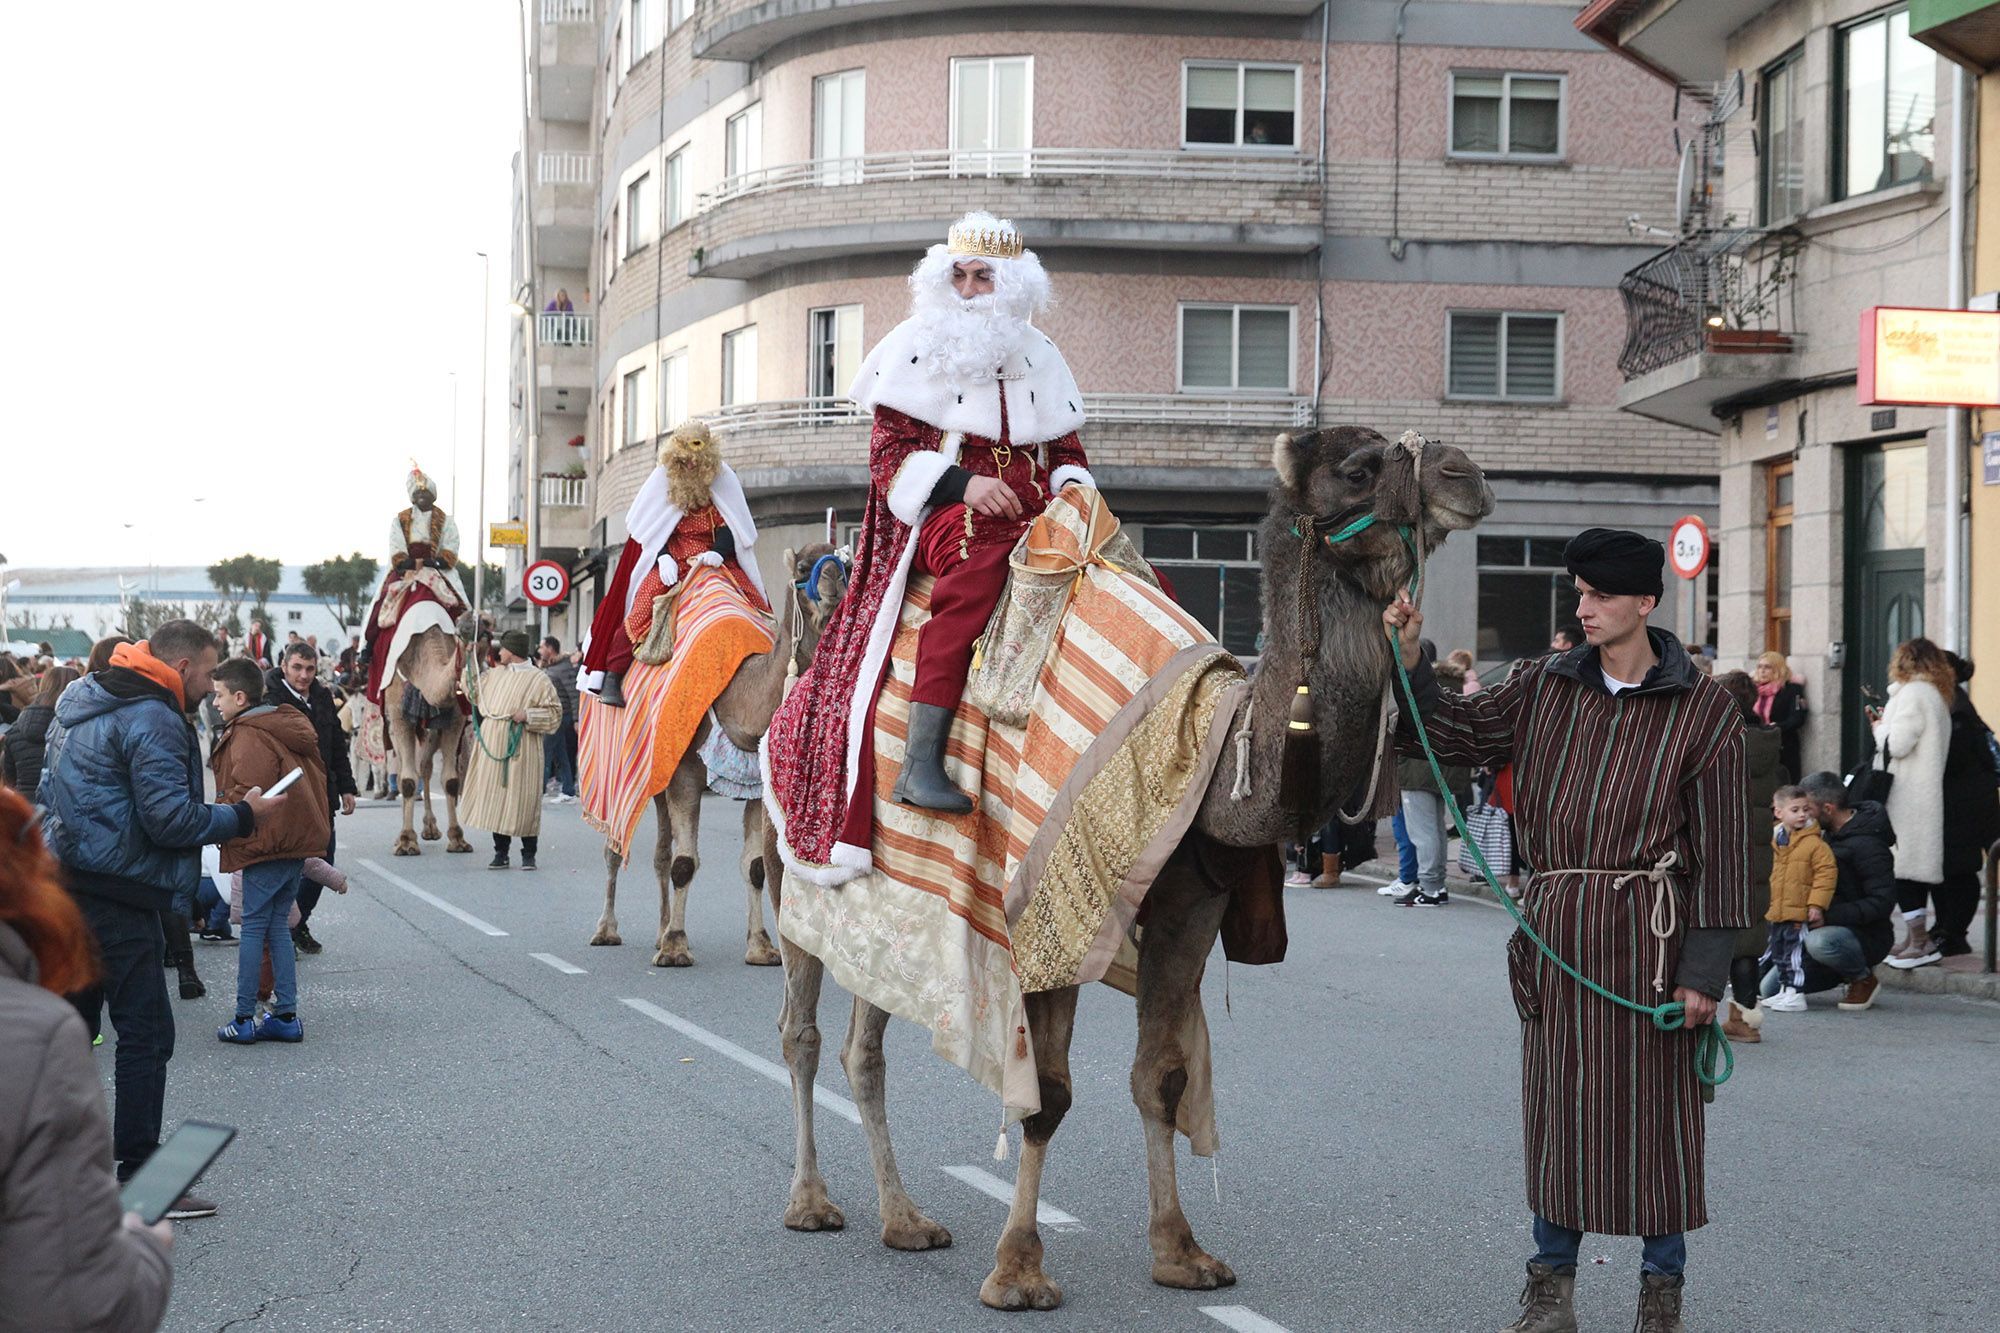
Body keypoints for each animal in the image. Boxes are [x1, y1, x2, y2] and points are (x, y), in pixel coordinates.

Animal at [378, 620, 468, 856]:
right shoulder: (400, 716)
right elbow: (408, 780)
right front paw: (407, 841)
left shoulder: (454, 719)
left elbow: (451, 780)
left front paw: (457, 839)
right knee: (404, 770)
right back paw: (401, 836)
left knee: (425, 765)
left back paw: (430, 828)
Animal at [588, 540, 848, 964]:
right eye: (804, 567)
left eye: (849, 564)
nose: (834, 584)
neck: (737, 701)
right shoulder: (685, 775)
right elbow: (684, 864)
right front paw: (675, 949)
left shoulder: (755, 786)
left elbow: (755, 866)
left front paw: (760, 946)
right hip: (618, 771)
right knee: (615, 846)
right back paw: (607, 930)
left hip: (657, 782)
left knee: (660, 852)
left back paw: (660, 931)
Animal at [772, 428, 1496, 1304]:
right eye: (1358, 468)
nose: (1466, 474)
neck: (1215, 756)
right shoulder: (1049, 920)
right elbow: (1048, 1096)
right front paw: (1019, 1269)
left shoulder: (1190, 903)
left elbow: (1163, 1075)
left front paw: (1181, 1251)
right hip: (801, 876)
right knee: (802, 1032)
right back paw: (811, 1202)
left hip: (887, 902)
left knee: (864, 1041)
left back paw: (906, 1219)